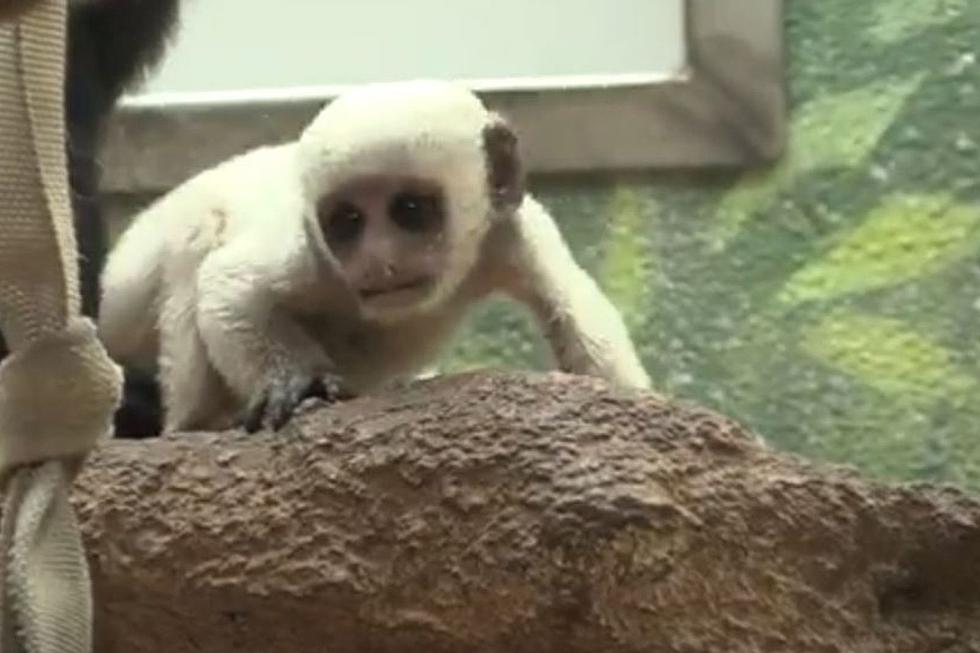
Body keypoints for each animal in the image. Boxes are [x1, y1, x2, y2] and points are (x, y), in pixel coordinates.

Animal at [97, 77, 652, 432]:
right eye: (348, 221)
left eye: (409, 210)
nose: (380, 260)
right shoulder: (310, 253)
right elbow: (230, 288)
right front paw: (296, 387)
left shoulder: (513, 230)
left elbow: (571, 307)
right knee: (196, 242)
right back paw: (199, 423)